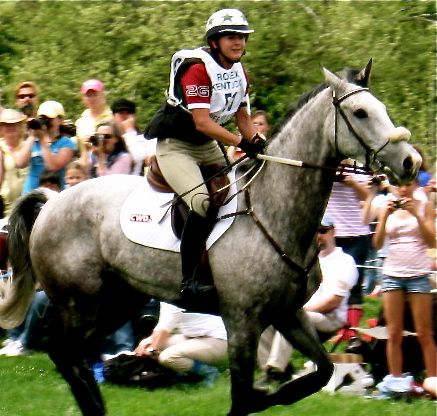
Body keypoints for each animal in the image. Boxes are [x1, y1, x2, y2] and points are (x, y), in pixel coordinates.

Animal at [1, 63, 420, 414]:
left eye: (381, 108)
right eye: (361, 113)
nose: (411, 162)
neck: (275, 211)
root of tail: (53, 201)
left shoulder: (288, 314)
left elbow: (320, 372)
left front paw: (278, 391)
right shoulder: (242, 322)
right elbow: (243, 398)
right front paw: (264, 393)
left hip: (116, 301)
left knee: (74, 355)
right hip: (81, 303)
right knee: (64, 352)